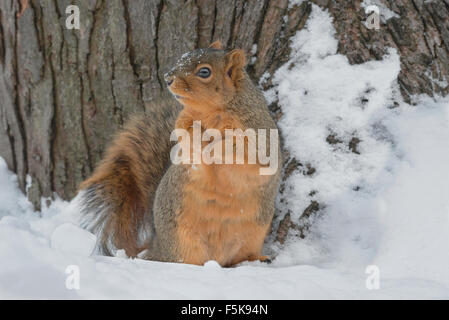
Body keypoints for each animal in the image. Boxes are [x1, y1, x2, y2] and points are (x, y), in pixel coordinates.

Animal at [77, 41, 280, 266]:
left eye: (204, 72)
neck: (210, 113)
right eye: (184, 56)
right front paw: (199, 142)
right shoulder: (183, 123)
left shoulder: (258, 133)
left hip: (253, 234)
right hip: (182, 241)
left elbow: (244, 150)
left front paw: (214, 146)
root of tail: (156, 246)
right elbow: (189, 143)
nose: (167, 78)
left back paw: (259, 259)